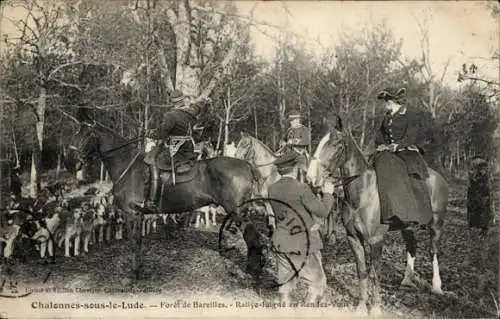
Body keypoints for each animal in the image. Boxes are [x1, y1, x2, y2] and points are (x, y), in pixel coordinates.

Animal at [306, 115, 452, 316]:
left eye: (336, 144)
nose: (310, 178)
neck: (362, 194)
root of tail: (439, 177)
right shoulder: (353, 239)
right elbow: (362, 272)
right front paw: (361, 307)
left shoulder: (376, 240)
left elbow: (375, 274)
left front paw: (374, 308)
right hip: (407, 226)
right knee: (412, 245)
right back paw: (407, 279)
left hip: (436, 223)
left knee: (434, 251)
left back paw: (437, 286)